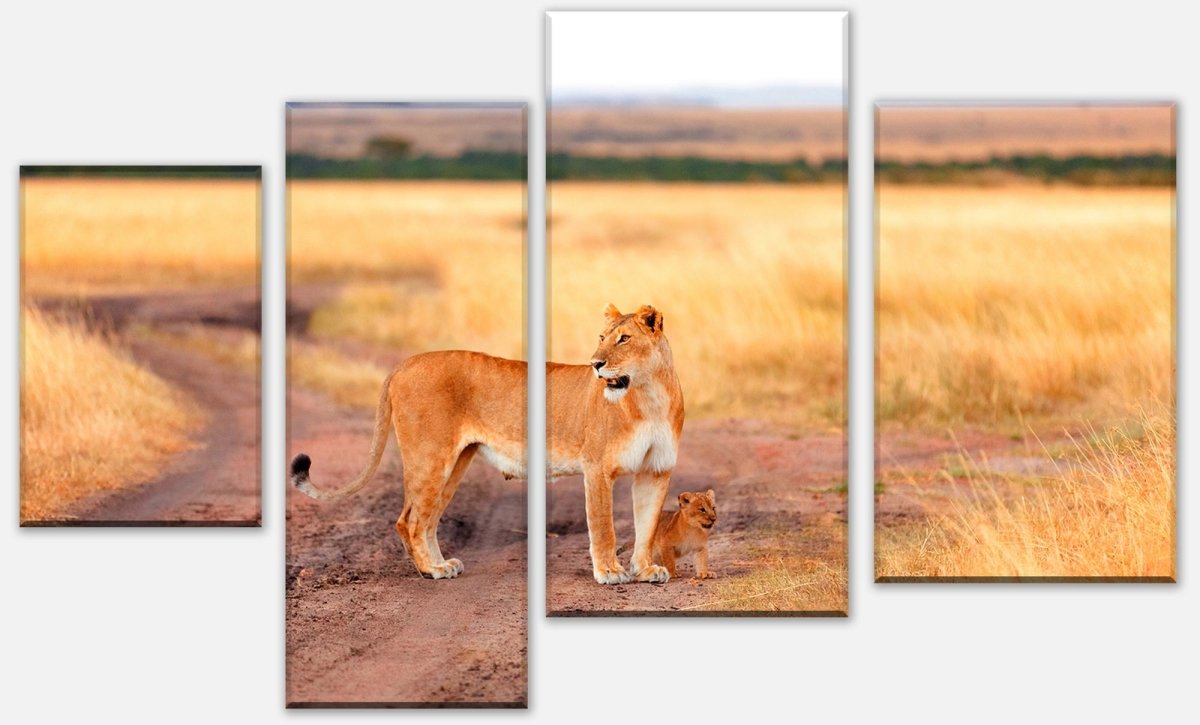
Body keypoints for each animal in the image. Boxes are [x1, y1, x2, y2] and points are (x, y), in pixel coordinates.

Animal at [290, 302, 682, 586]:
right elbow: (604, 526)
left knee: (426, 520)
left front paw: (645, 570)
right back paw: (431, 571)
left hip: (454, 463)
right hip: (429, 457)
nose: (596, 363)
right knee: (410, 520)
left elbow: (647, 526)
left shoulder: (656, 470)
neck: (649, 396)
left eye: (624, 339)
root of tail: (404, 364)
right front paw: (610, 572)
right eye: (602, 336)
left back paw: (440, 564)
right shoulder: (597, 467)